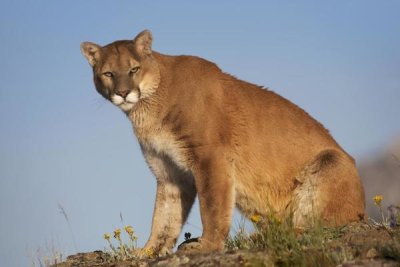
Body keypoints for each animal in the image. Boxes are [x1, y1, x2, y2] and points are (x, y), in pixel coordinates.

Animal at [81, 30, 366, 256]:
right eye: (108, 73)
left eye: (134, 69)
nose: (122, 93)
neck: (147, 110)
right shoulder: (169, 173)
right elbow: (164, 217)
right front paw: (148, 251)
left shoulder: (210, 159)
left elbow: (212, 207)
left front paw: (208, 245)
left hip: (331, 161)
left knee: (323, 226)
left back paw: (265, 236)